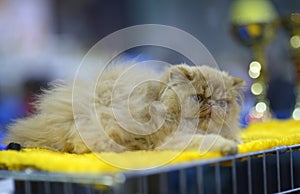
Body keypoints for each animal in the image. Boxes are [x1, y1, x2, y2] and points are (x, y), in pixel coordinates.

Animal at [3, 63, 245, 155]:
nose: (211, 104)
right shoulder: (171, 139)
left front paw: (234, 140)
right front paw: (228, 146)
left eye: (221, 102)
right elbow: (206, 141)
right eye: (198, 98)